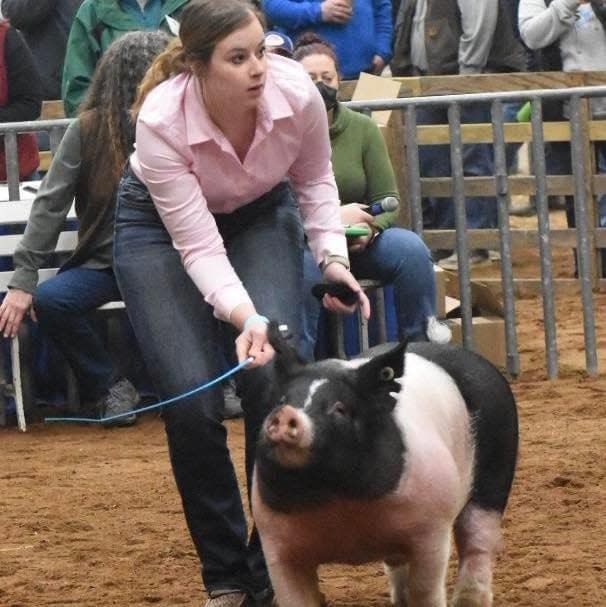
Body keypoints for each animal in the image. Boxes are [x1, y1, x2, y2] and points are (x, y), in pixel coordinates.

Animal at [252, 324, 516, 607]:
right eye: (282, 400)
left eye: (340, 407)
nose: (285, 414)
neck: (337, 500)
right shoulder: (275, 541)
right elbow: (293, 597)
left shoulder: (433, 528)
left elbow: (425, 590)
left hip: (495, 475)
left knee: (478, 543)